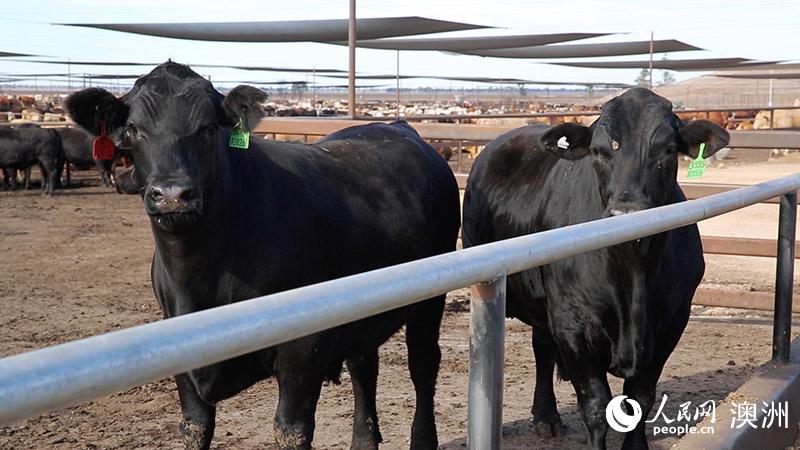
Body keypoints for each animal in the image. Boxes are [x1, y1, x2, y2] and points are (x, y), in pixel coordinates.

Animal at [65, 62, 460, 450]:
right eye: (134, 129)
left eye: (208, 127)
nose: (173, 194)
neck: (201, 277)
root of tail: (398, 127)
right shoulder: (179, 347)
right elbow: (195, 428)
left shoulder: (303, 351)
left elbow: (291, 430)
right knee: (364, 364)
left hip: (430, 298)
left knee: (423, 363)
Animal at [462, 86, 732, 448]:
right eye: (597, 151)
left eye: (668, 150)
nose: (627, 212)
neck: (633, 276)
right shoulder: (572, 325)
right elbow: (595, 406)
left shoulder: (672, 321)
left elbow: (641, 399)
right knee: (543, 350)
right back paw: (546, 417)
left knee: (542, 345)